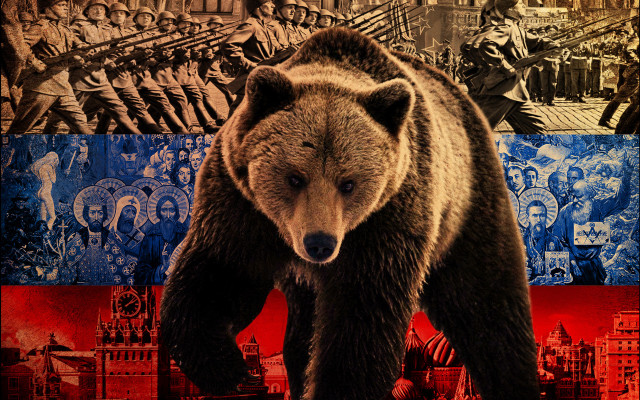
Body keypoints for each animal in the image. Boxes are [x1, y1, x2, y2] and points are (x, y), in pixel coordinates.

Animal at [160, 27, 539, 400]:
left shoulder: (388, 217)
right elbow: (220, 275)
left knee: (489, 308)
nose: (319, 243)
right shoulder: (240, 205)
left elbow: (361, 320)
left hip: (466, 206)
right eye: (295, 177)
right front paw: (230, 369)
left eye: (348, 183)